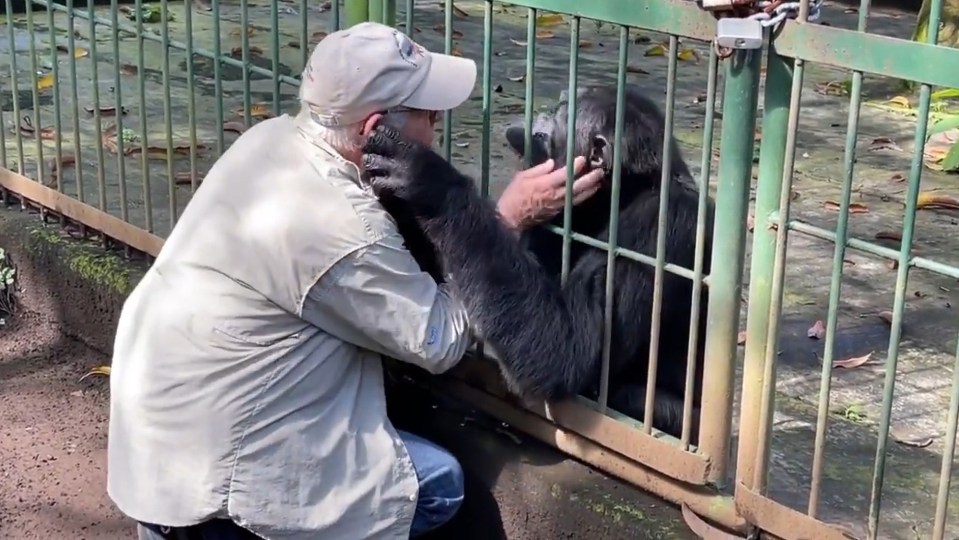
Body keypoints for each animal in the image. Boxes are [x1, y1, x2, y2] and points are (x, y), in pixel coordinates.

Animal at [364, 82, 716, 440]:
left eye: (561, 112)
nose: (545, 109)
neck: (622, 194)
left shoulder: (660, 226)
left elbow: (565, 348)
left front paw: (428, 179)